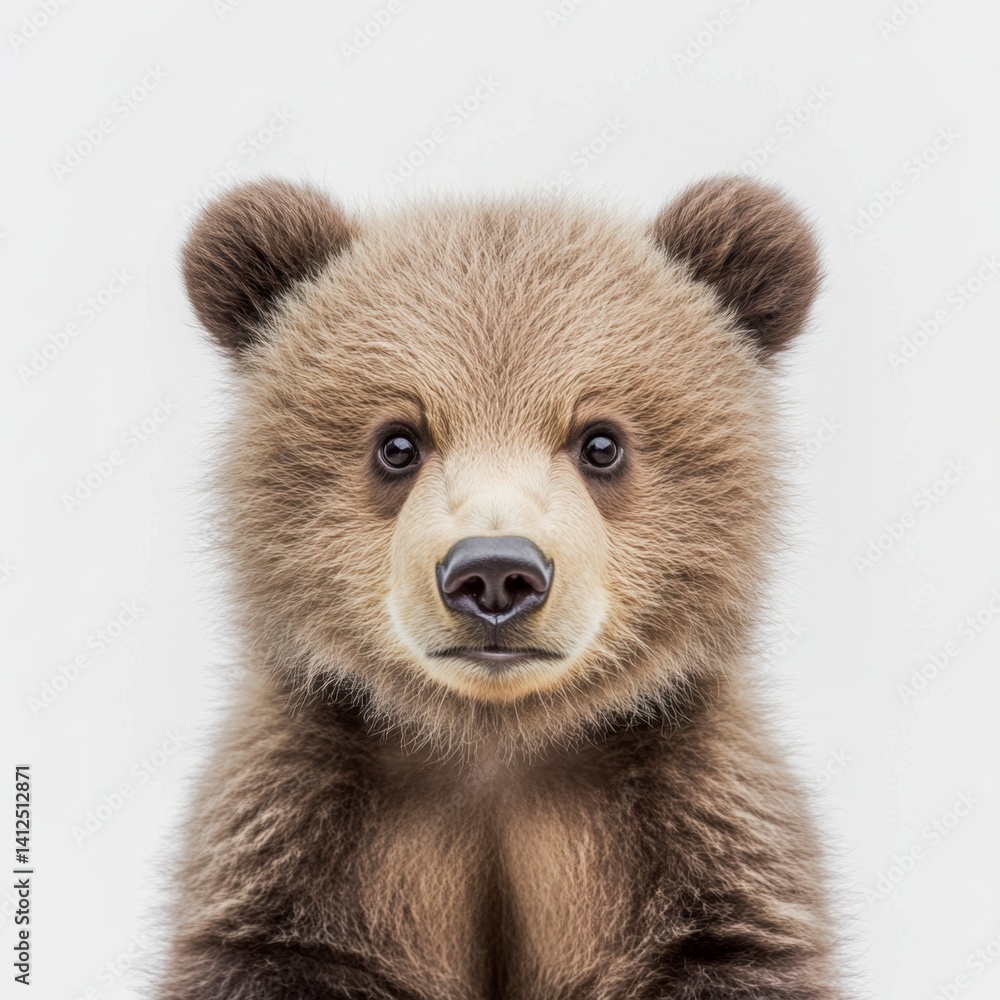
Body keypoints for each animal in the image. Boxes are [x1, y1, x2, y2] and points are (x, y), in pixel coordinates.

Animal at [157, 175, 840, 1000]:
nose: (493, 574)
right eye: (397, 442)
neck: (495, 745)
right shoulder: (302, 839)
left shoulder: (696, 832)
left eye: (601, 441)